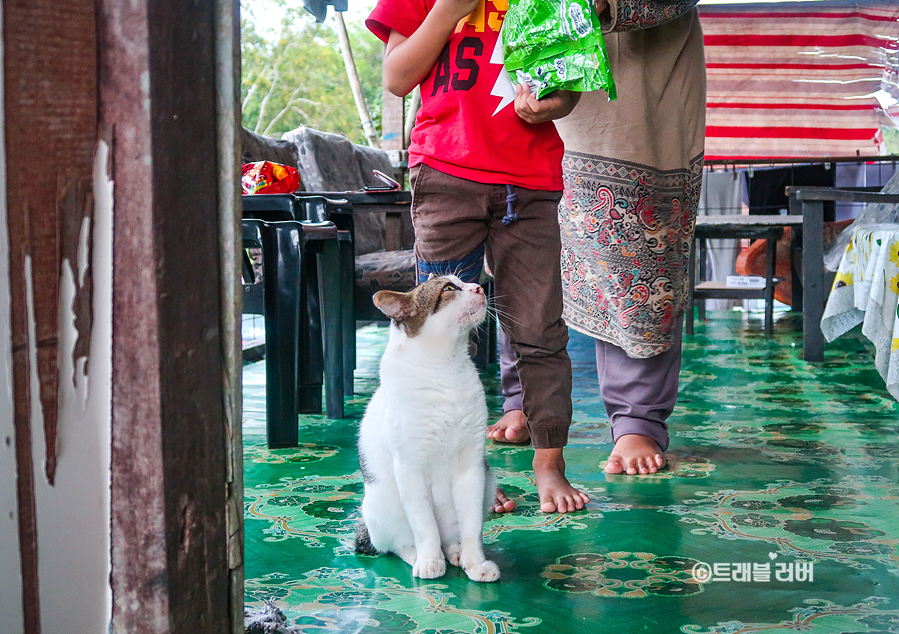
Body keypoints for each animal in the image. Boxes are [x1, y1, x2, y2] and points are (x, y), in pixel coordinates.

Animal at [356, 274, 500, 580]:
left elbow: (472, 527)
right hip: (382, 502)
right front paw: (430, 560)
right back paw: (419, 556)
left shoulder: (472, 466)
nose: (479, 288)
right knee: (397, 544)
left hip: (488, 480)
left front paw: (475, 562)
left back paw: (455, 552)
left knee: (449, 537)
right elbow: (424, 527)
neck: (446, 367)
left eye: (462, 282)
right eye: (448, 289)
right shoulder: (410, 468)